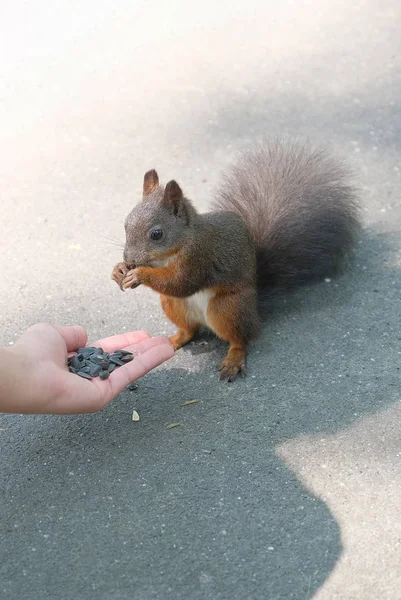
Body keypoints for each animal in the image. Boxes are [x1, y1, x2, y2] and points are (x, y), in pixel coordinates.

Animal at [110, 138, 360, 382]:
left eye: (156, 234)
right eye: (126, 224)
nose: (129, 258)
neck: (174, 248)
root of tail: (255, 305)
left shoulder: (199, 255)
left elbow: (181, 283)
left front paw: (139, 274)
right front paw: (119, 270)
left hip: (228, 307)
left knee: (242, 339)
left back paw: (233, 359)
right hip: (174, 305)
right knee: (190, 330)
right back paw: (175, 339)